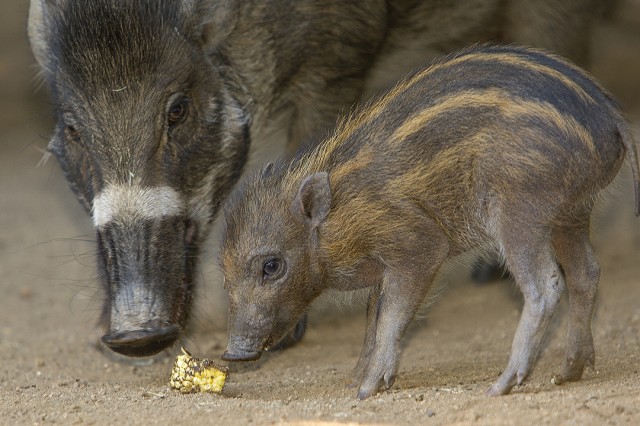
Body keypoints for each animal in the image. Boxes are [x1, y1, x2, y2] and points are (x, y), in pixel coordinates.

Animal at [221, 45, 640, 398]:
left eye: (272, 266)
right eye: (225, 277)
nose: (233, 353)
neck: (335, 216)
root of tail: (611, 118)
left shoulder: (417, 246)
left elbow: (390, 318)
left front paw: (366, 390)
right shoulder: (385, 266)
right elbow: (374, 317)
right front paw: (357, 379)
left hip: (519, 212)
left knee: (546, 285)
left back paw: (500, 386)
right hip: (571, 214)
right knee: (587, 272)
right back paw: (568, 372)